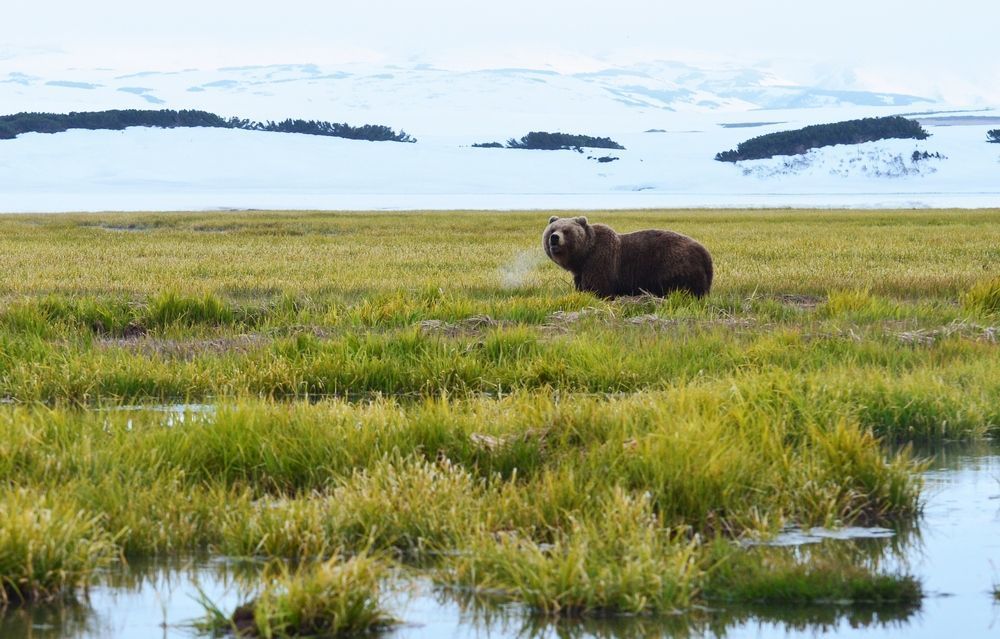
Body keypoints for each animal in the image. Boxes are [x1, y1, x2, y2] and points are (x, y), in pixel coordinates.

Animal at [542, 216, 713, 298]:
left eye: (566, 230)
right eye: (552, 229)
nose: (554, 238)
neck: (584, 256)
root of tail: (705, 253)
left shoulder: (600, 260)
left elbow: (599, 288)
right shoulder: (581, 272)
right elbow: (582, 287)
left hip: (675, 265)